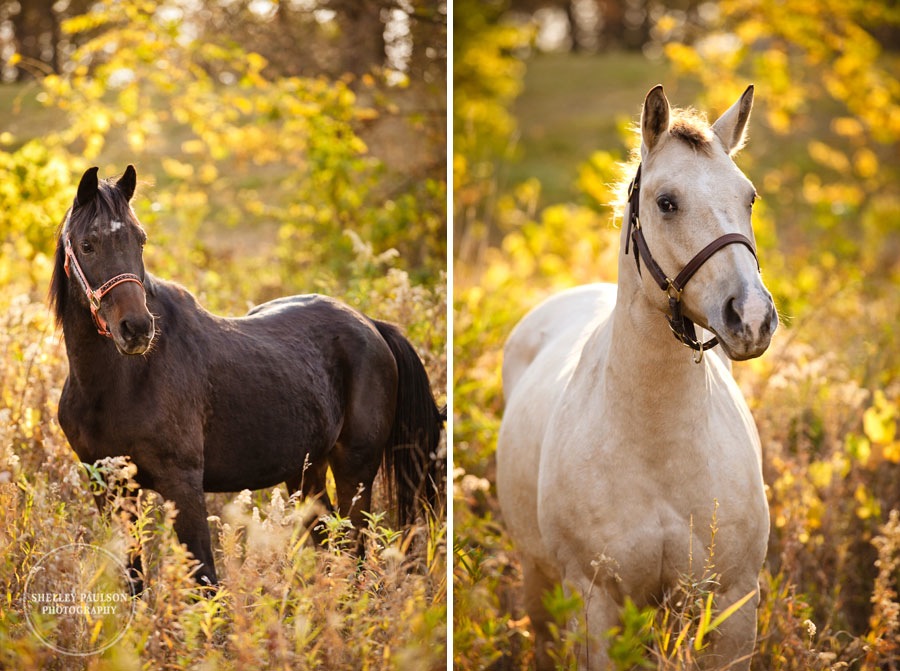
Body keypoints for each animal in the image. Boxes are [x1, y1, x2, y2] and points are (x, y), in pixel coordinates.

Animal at [49, 167, 442, 588]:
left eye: (140, 241)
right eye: (87, 245)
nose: (137, 329)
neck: (119, 385)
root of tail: (371, 325)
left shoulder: (182, 485)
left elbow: (205, 580)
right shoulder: (110, 488)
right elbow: (135, 579)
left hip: (356, 470)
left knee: (355, 552)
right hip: (306, 474)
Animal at [496, 85, 776, 671]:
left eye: (749, 198)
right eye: (666, 202)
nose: (752, 317)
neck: (656, 447)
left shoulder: (734, 602)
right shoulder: (595, 600)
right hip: (538, 577)